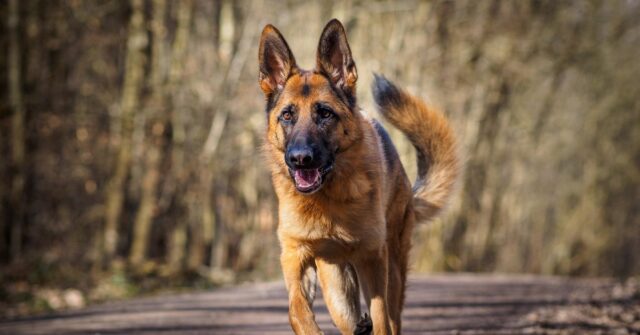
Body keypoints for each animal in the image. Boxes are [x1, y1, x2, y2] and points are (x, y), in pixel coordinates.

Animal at [258, 19, 460, 334]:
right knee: (348, 318)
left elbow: (382, 318)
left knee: (392, 316)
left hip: (392, 270)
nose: (300, 158)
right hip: (337, 291)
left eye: (325, 114)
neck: (325, 200)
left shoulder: (372, 260)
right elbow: (296, 310)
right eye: (287, 115)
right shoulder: (295, 255)